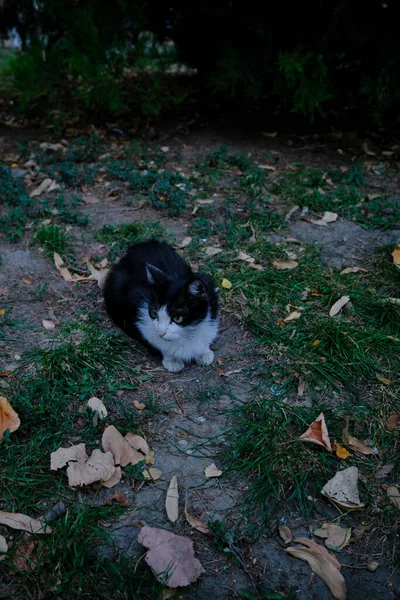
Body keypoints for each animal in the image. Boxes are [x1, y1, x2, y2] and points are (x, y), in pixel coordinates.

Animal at [101, 238, 217, 370]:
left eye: (178, 318)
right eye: (154, 314)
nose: (161, 333)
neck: (187, 334)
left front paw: (204, 352)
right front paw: (171, 359)